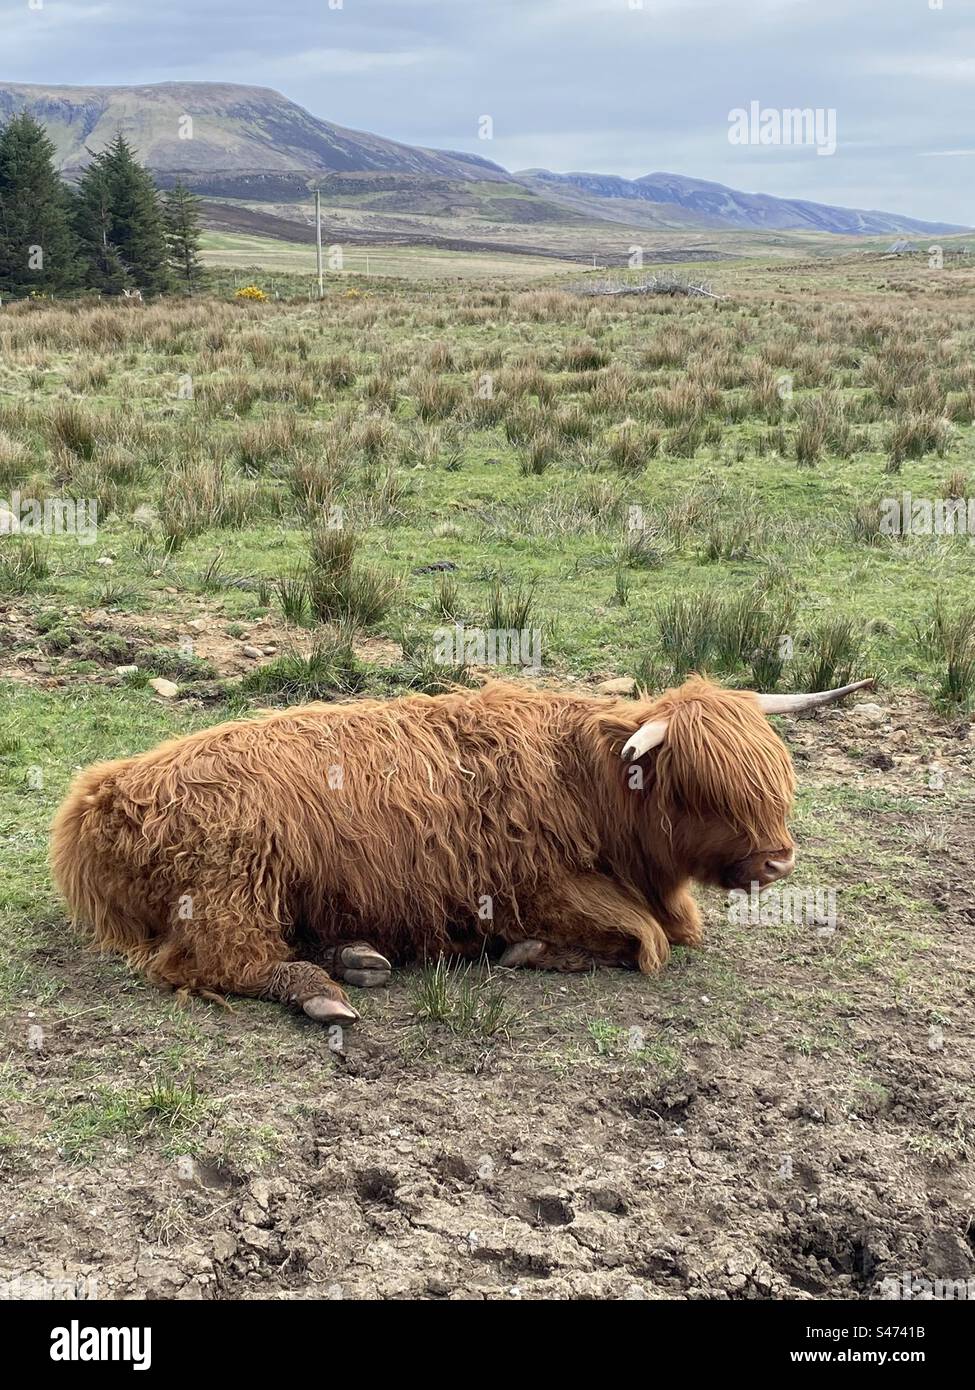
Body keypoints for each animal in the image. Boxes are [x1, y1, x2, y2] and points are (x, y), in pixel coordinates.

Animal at [50, 675, 873, 1025]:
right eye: (705, 791)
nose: (779, 861)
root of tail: (104, 793)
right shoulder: (536, 888)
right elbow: (650, 940)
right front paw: (532, 951)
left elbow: (675, 929)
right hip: (232, 884)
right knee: (219, 961)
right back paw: (323, 990)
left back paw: (356, 955)